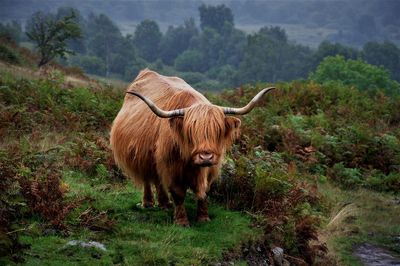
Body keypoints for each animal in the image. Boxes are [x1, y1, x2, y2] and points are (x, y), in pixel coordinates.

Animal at [109, 68, 276, 224]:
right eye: (191, 132)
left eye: (218, 130)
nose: (206, 157)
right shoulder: (171, 167)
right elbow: (178, 193)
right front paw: (181, 221)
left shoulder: (211, 169)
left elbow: (205, 192)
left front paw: (203, 217)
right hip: (141, 156)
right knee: (147, 178)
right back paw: (148, 203)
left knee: (157, 179)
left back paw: (165, 203)